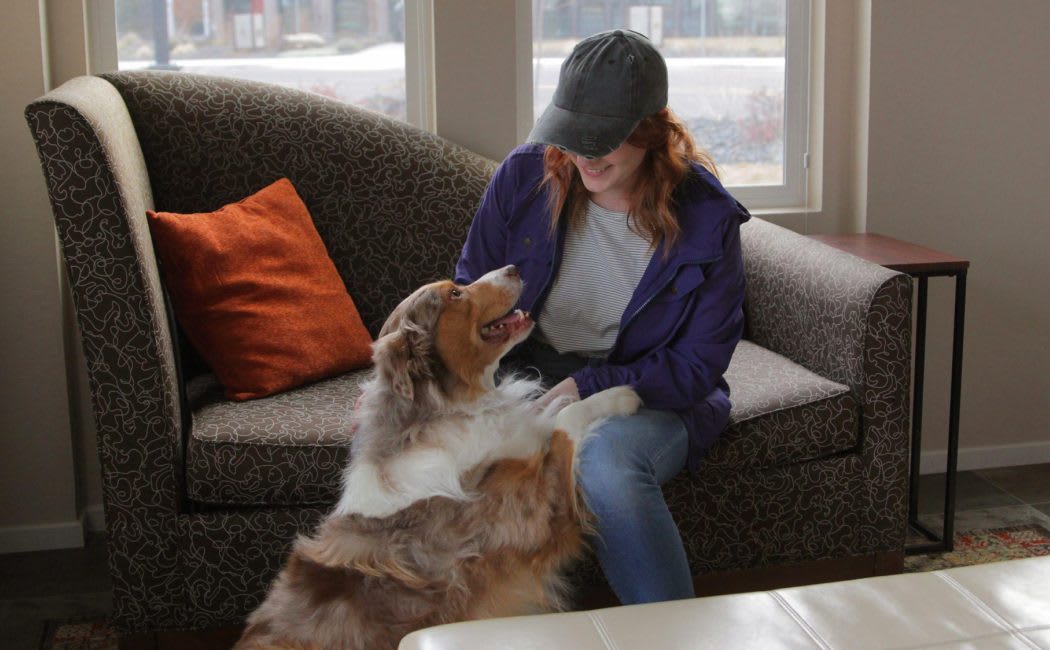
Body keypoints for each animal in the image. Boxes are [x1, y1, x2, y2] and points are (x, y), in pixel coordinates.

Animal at [236, 266, 638, 646]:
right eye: (455, 294)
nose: (513, 268)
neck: (444, 410)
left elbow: (552, 411)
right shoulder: (536, 514)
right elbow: (565, 423)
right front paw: (620, 395)